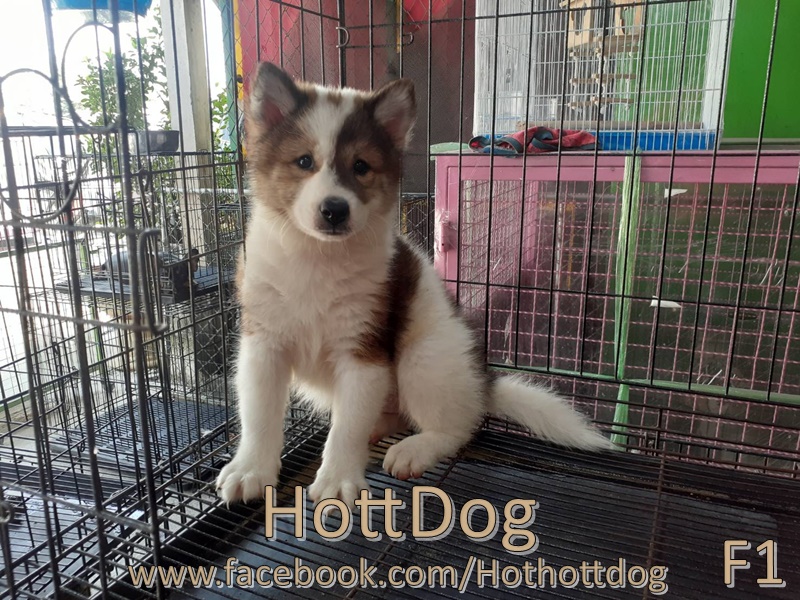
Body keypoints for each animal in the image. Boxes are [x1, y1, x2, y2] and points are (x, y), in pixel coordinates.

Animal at [215, 62, 613, 506]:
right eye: (303, 161)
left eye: (361, 166)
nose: (334, 210)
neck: (316, 257)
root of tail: (482, 382)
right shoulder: (262, 345)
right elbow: (260, 417)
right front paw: (251, 469)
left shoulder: (365, 351)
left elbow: (346, 429)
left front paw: (337, 479)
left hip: (423, 359)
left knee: (459, 426)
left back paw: (416, 449)